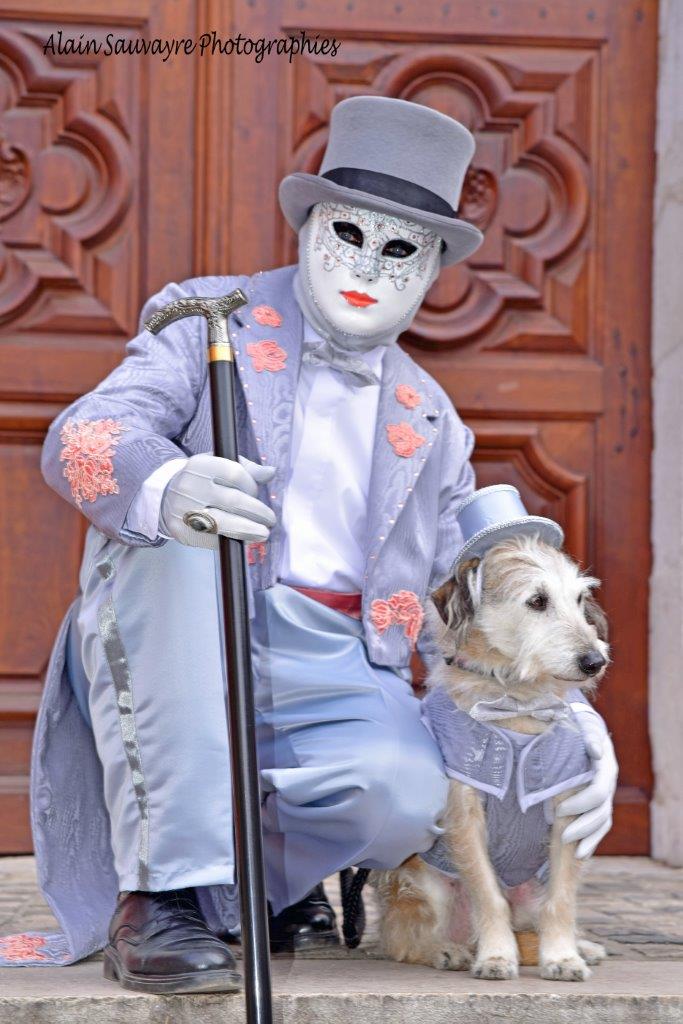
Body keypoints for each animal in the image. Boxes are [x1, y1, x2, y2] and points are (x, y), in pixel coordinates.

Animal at [376, 532, 610, 978]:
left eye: (578, 599)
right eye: (537, 600)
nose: (596, 661)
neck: (515, 703)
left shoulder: (569, 815)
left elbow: (562, 901)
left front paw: (563, 957)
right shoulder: (465, 814)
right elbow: (487, 894)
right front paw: (497, 955)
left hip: (532, 885)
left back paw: (582, 946)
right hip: (423, 883)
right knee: (402, 940)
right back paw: (447, 950)